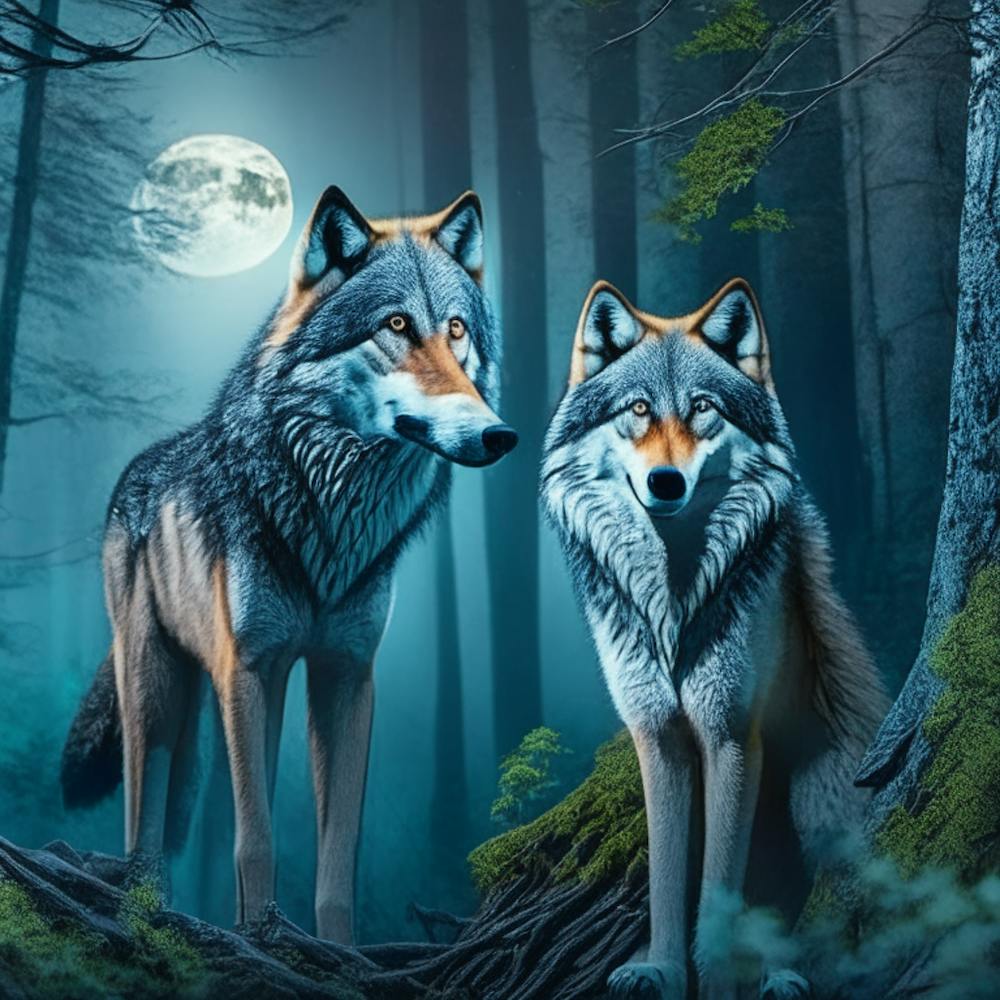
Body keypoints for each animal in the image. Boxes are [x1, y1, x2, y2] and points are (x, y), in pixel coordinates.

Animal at [60, 186, 516, 943]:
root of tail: (142, 463)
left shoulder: (346, 675)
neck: (330, 527)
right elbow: (257, 837)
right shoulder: (250, 668)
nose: (499, 435)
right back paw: (145, 909)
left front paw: (334, 949)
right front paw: (263, 937)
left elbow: (337, 851)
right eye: (396, 325)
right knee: (143, 819)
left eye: (456, 330)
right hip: (157, 691)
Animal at [541, 279, 887, 999]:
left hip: (814, 797)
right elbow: (668, 880)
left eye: (701, 409)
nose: (666, 481)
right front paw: (662, 969)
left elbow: (720, 891)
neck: (674, 602)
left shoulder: (730, 735)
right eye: (638, 409)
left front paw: (719, 977)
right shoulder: (658, 737)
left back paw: (783, 974)